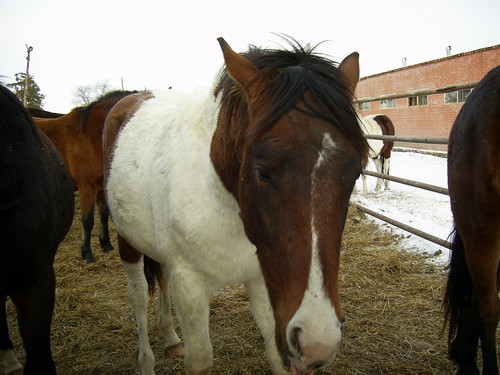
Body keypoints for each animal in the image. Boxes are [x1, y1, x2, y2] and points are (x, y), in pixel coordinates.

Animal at [34, 90, 137, 264]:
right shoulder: (86, 187)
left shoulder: (101, 186)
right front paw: (87, 253)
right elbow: (88, 221)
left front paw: (106, 244)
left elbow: (103, 215)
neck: (92, 135)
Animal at [103, 38, 370, 375]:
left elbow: (275, 354)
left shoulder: (263, 280)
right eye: (263, 171)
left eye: (355, 172)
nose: (317, 341)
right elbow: (200, 359)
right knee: (138, 296)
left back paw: (171, 339)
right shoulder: (188, 283)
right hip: (128, 242)